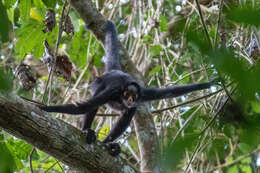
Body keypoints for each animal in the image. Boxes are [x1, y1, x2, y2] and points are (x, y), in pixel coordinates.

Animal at [38, 20, 217, 157]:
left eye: (134, 95)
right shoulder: (114, 91)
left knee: (129, 112)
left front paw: (211, 83)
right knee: (95, 105)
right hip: (99, 84)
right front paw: (45, 109)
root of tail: (115, 71)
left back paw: (109, 144)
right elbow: (84, 106)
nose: (130, 99)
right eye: (126, 94)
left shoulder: (144, 94)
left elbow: (170, 92)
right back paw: (88, 132)